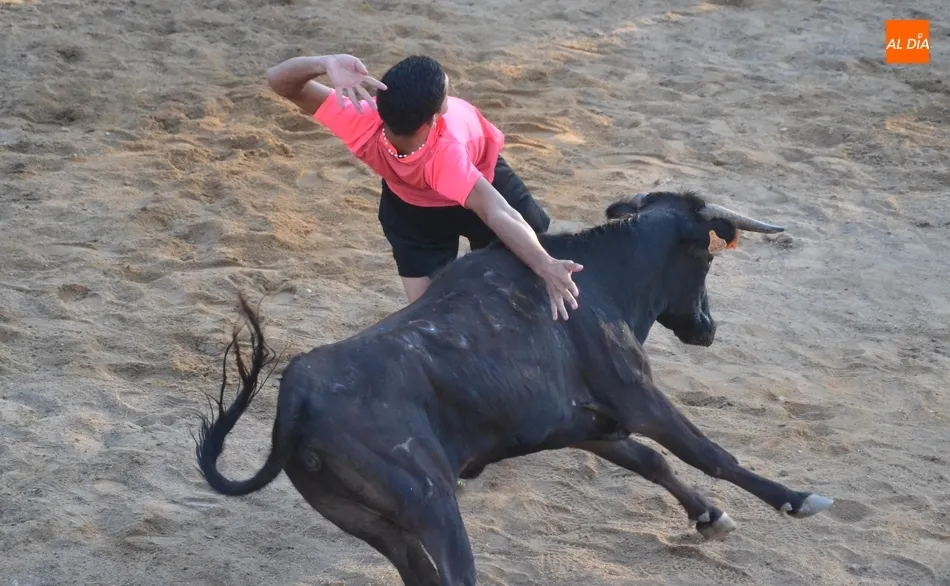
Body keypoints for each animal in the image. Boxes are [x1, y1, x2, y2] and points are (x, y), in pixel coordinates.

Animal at [194, 190, 834, 586]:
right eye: (706, 258)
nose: (707, 328)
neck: (598, 280)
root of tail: (297, 395)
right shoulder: (637, 397)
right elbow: (709, 452)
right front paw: (798, 498)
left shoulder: (586, 424)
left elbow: (652, 462)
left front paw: (709, 516)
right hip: (433, 504)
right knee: (454, 574)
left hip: (369, 521)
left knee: (417, 573)